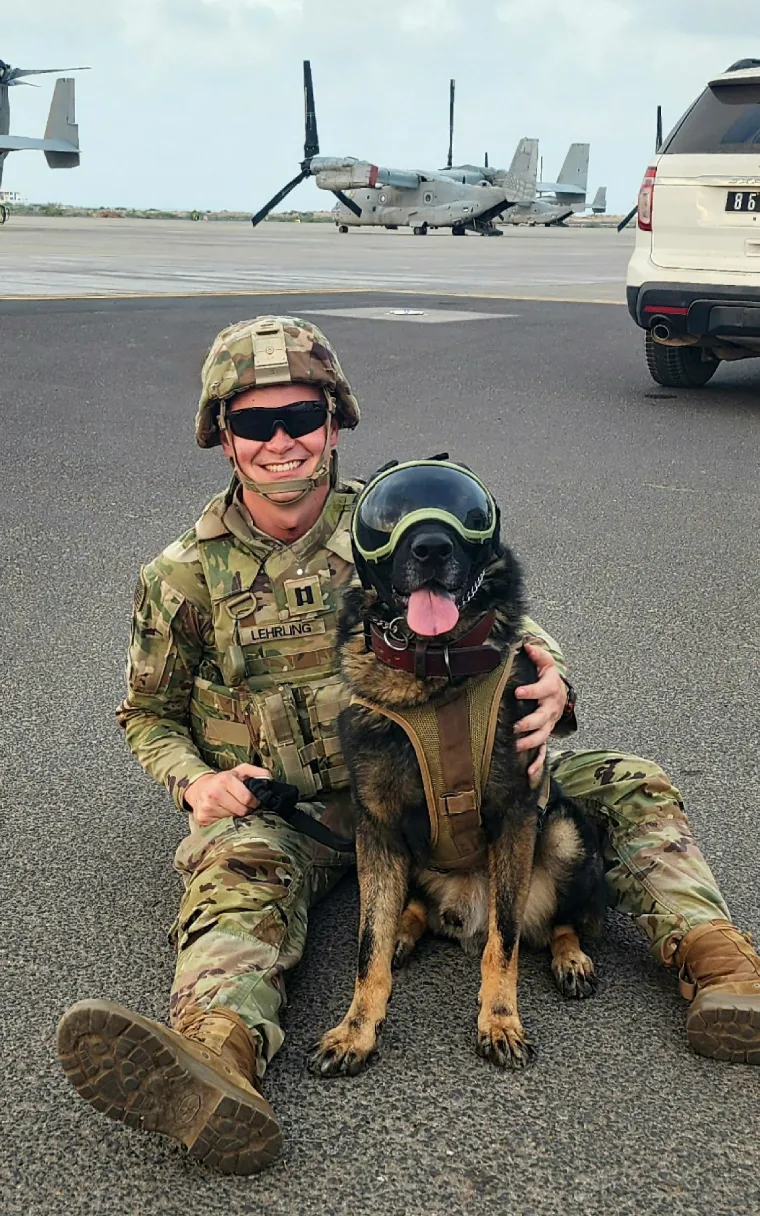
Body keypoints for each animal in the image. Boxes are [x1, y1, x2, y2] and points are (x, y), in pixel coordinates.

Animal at [305, 462, 608, 1074]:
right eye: (387, 514)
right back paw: (406, 928)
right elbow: (367, 946)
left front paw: (500, 1021)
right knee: (411, 908)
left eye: (468, 511)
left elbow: (504, 942)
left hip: (563, 833)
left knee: (560, 921)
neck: (434, 672)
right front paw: (357, 1029)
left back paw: (570, 958)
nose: (431, 548)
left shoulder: (517, 817)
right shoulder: (376, 829)